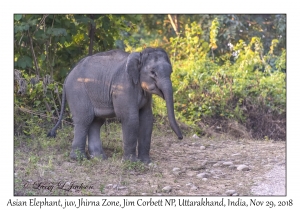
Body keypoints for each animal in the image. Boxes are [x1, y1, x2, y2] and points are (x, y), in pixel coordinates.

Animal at [47, 47, 183, 162]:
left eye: (171, 71)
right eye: (153, 72)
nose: (180, 137)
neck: (139, 55)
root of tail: (67, 77)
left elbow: (147, 119)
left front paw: (146, 162)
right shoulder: (124, 86)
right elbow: (130, 119)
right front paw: (131, 162)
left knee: (96, 122)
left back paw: (99, 158)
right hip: (78, 92)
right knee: (84, 120)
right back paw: (79, 159)